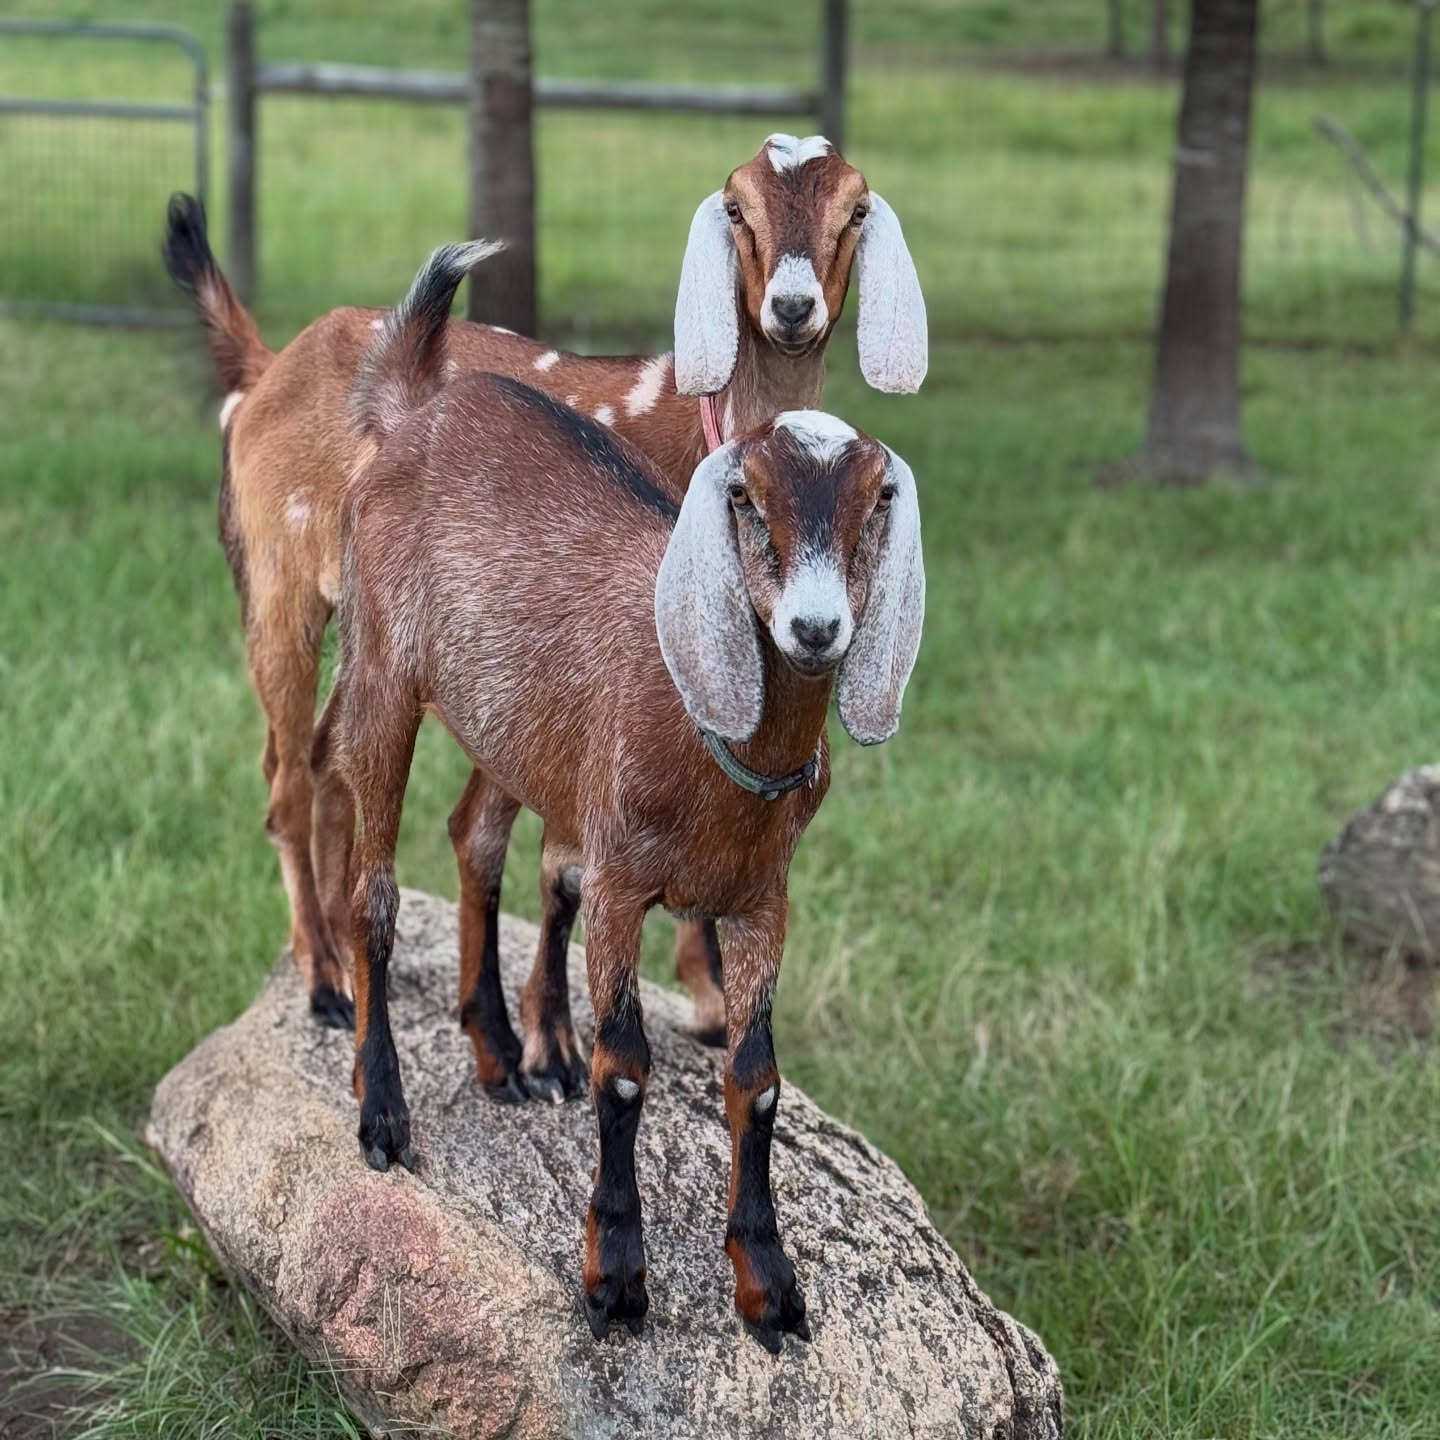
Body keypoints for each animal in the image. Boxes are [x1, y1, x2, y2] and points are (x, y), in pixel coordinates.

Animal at [161, 132, 927, 1074]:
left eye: (855, 208)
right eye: (737, 204)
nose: (792, 308)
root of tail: (267, 370)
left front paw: (692, 1006)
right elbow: (545, 848)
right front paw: (552, 1036)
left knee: (329, 758)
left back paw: (348, 953)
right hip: (281, 587)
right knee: (287, 778)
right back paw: (324, 979)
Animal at [333, 247, 925, 1350]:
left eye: (877, 503)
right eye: (749, 500)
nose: (814, 629)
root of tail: (417, 409)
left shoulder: (763, 900)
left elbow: (758, 1079)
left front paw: (769, 1283)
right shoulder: (620, 883)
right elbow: (625, 1063)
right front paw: (615, 1275)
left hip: (517, 724)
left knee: (476, 835)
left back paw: (500, 1052)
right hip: (381, 669)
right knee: (373, 891)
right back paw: (383, 1111)